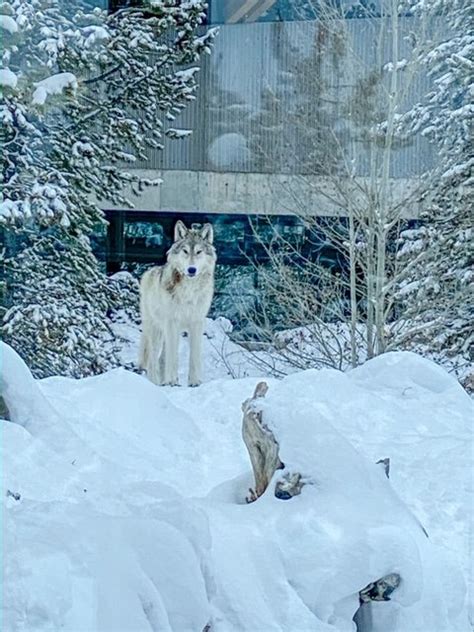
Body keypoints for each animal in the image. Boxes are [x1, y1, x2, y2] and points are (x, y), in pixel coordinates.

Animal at [138, 220, 218, 388]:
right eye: (185, 251)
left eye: (199, 252)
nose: (191, 269)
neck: (189, 291)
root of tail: (149, 272)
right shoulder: (172, 322)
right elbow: (172, 357)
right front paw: (172, 381)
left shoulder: (196, 322)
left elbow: (194, 356)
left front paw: (195, 382)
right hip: (156, 330)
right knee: (153, 358)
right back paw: (155, 383)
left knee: (161, 357)